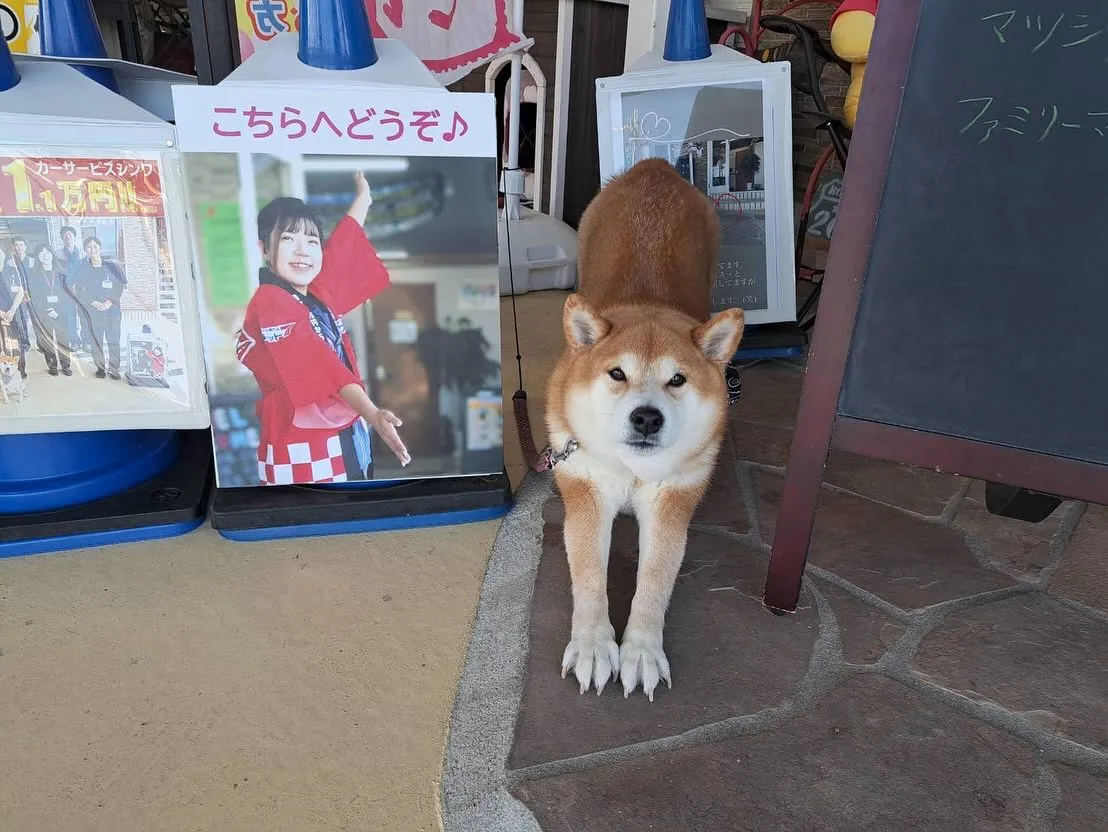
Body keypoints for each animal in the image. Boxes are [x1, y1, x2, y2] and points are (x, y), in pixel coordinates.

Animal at [545, 159, 744, 700]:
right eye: (617, 373)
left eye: (677, 380)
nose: (647, 417)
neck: (632, 470)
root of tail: (653, 168)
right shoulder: (587, 490)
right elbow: (589, 577)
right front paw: (594, 647)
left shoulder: (673, 499)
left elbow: (654, 582)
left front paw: (640, 652)